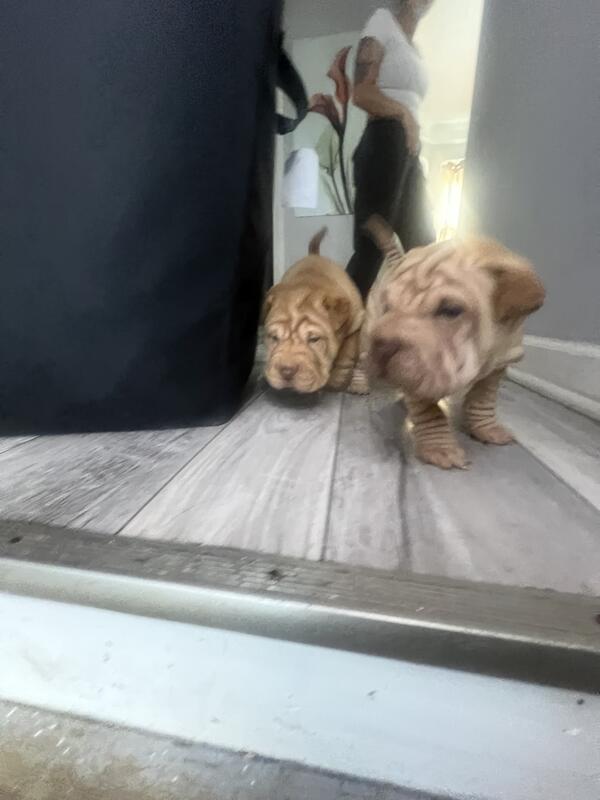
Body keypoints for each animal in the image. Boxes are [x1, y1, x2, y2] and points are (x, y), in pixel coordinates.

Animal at [263, 228, 364, 393]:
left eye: (314, 339)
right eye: (274, 338)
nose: (287, 371)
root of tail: (314, 255)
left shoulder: (356, 322)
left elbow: (347, 352)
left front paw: (337, 379)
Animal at [358, 216, 545, 469]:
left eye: (451, 310)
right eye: (387, 307)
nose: (383, 345)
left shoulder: (499, 364)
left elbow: (483, 400)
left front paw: (486, 428)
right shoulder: (421, 371)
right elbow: (430, 412)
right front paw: (440, 448)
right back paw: (359, 383)